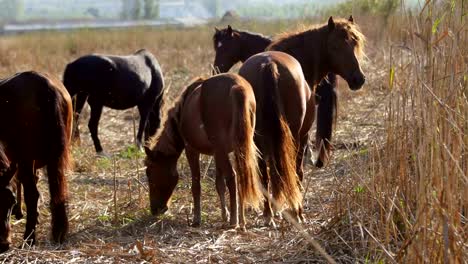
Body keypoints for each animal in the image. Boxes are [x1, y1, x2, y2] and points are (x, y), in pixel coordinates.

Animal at [0, 71, 72, 253]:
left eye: (9, 202)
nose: (3, 244)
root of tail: (43, 84)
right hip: (56, 158)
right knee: (58, 192)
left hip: (26, 158)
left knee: (32, 195)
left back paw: (29, 238)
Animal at [145, 72, 264, 229]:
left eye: (150, 173)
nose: (155, 210)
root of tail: (237, 87)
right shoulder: (217, 152)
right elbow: (219, 184)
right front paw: (224, 214)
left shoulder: (192, 150)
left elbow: (196, 184)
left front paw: (197, 218)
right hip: (239, 148)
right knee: (241, 177)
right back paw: (241, 220)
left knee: (232, 177)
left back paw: (234, 221)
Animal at [239, 51, 312, 225]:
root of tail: (269, 63)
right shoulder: (303, 138)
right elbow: (297, 173)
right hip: (294, 137)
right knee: (292, 171)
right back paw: (297, 212)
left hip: (258, 139)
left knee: (266, 175)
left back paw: (269, 214)